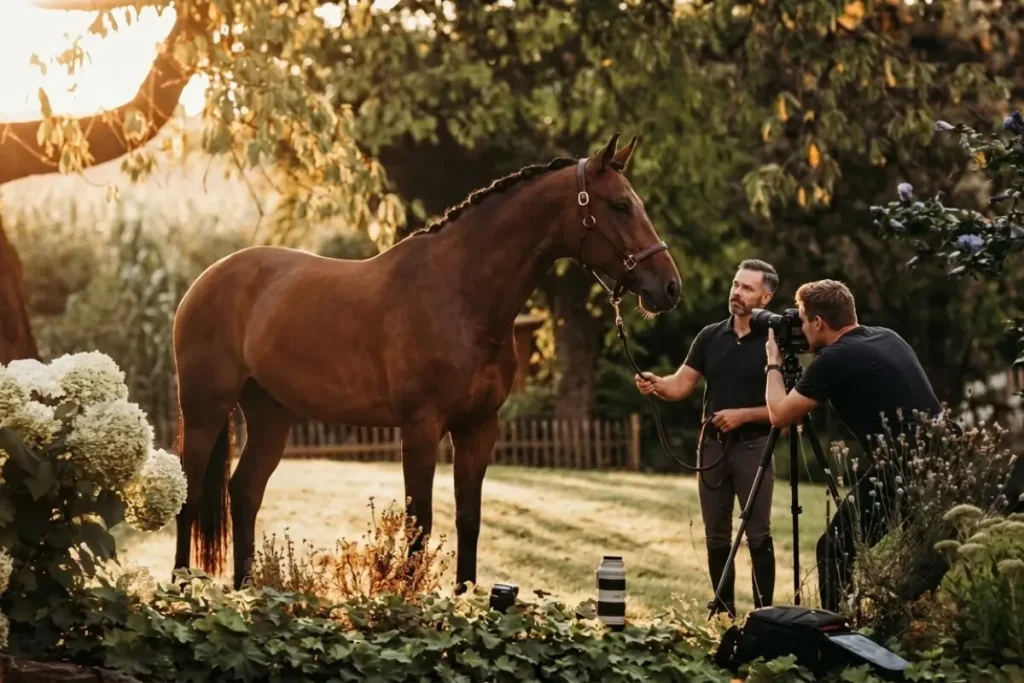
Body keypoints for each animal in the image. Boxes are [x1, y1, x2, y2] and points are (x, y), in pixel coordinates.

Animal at [170, 133, 682, 591]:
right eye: (620, 205)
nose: (669, 288)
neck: (461, 295)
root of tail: (206, 280)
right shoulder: (420, 426)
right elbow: (421, 523)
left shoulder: (479, 427)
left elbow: (468, 518)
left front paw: (466, 600)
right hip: (204, 409)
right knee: (190, 495)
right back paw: (181, 585)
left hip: (271, 414)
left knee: (244, 492)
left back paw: (246, 588)